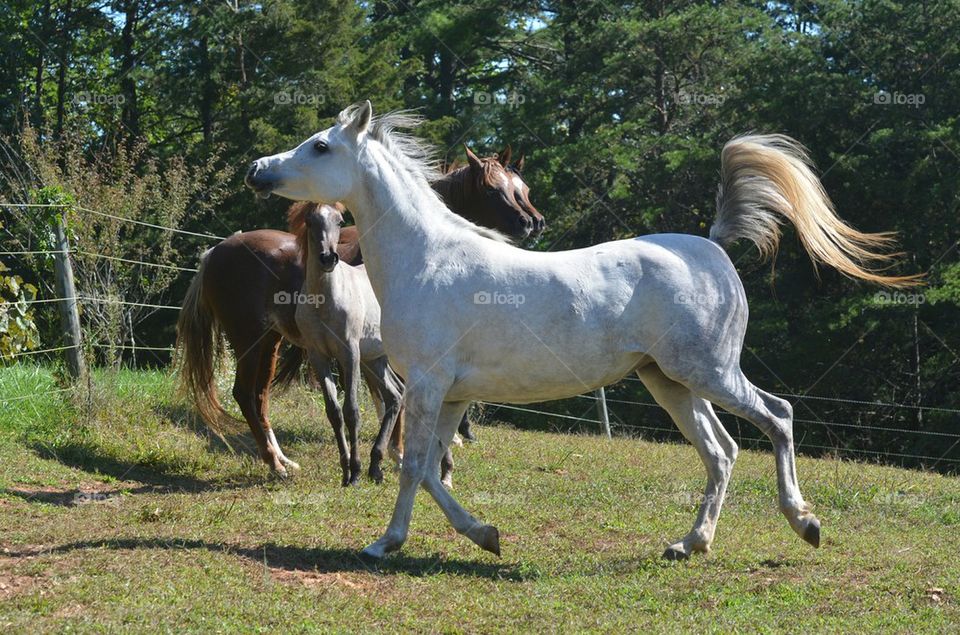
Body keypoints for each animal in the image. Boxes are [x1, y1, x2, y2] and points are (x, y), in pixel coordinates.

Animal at [173, 149, 540, 476]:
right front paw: (395, 454)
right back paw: (275, 465)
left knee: (259, 396)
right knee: (244, 394)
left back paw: (283, 459)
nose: (532, 223)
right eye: (493, 189)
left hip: (269, 341)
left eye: (522, 190)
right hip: (247, 338)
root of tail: (216, 251)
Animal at [244, 100, 920, 560]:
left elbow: (414, 467)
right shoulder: (450, 395)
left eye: (320, 147)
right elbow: (434, 467)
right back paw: (689, 544)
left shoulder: (430, 386)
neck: (429, 259)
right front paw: (484, 535)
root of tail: (711, 247)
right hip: (671, 382)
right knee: (722, 451)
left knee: (776, 418)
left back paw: (803, 522)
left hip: (709, 372)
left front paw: (387, 543)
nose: (257, 169)